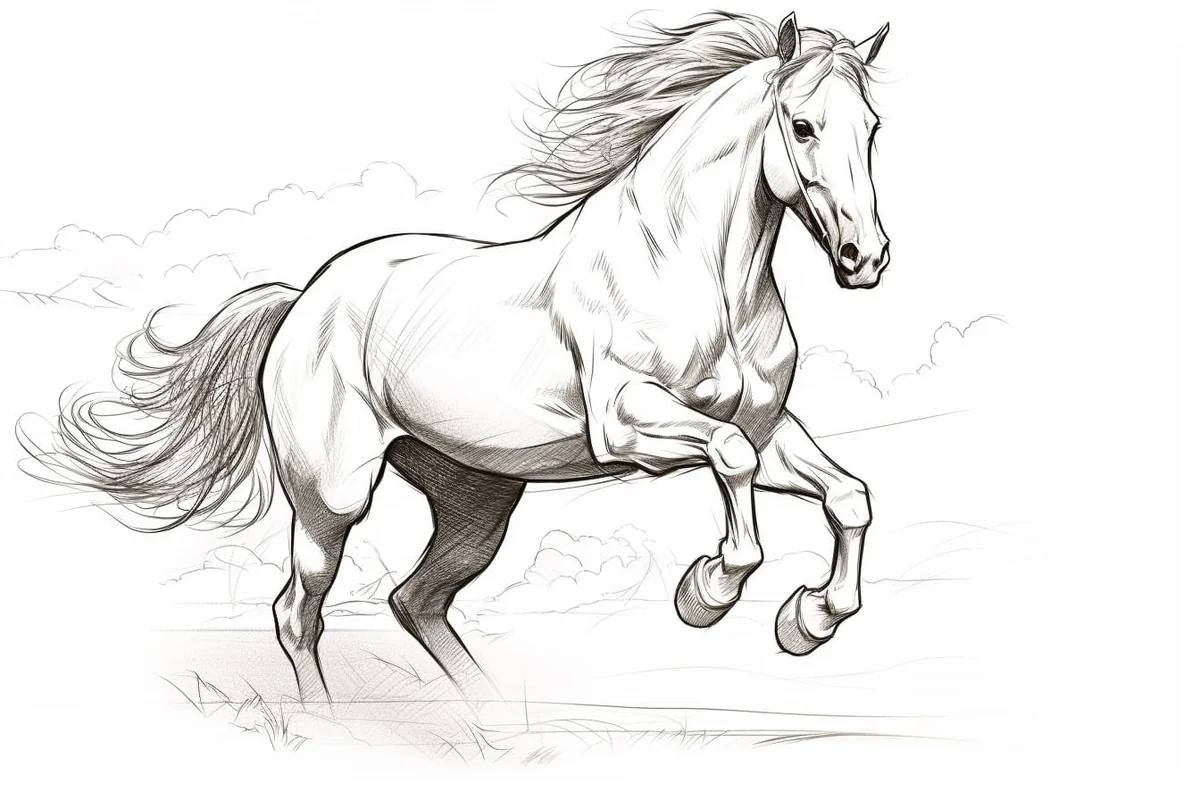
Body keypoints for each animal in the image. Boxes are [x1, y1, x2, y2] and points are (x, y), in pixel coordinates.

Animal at [21, 12, 891, 706]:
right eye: (802, 125)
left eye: (873, 128)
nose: (866, 259)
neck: (692, 270)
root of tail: (302, 303)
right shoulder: (630, 424)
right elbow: (732, 461)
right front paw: (707, 592)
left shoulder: (772, 426)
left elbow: (847, 496)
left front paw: (808, 620)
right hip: (332, 498)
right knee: (299, 612)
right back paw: (326, 726)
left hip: (476, 501)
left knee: (417, 600)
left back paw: (492, 718)